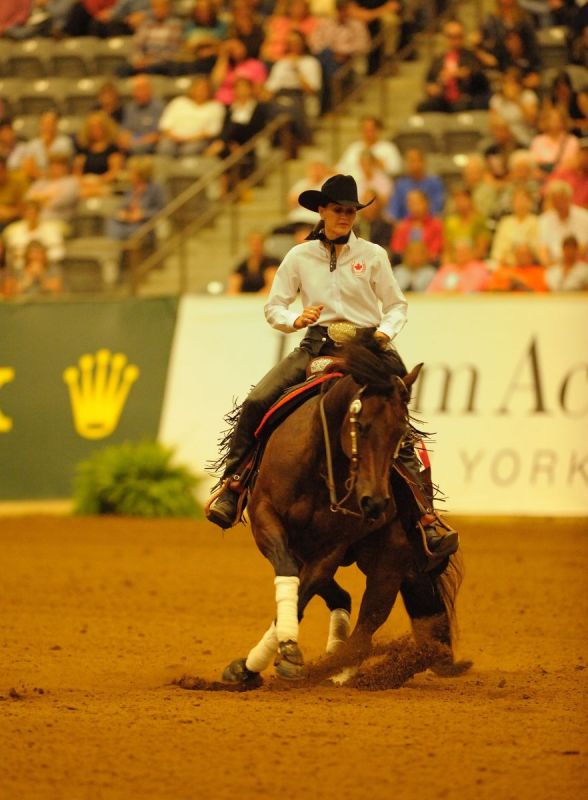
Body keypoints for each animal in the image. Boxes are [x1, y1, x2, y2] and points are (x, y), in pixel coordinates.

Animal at [221, 336, 432, 682]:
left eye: (401, 433)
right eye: (362, 425)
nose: (375, 501)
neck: (320, 463)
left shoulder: (331, 548)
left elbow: (303, 592)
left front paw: (286, 655)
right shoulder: (267, 519)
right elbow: (290, 576)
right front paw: (272, 656)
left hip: (389, 560)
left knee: (366, 628)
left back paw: (339, 672)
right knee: (341, 598)